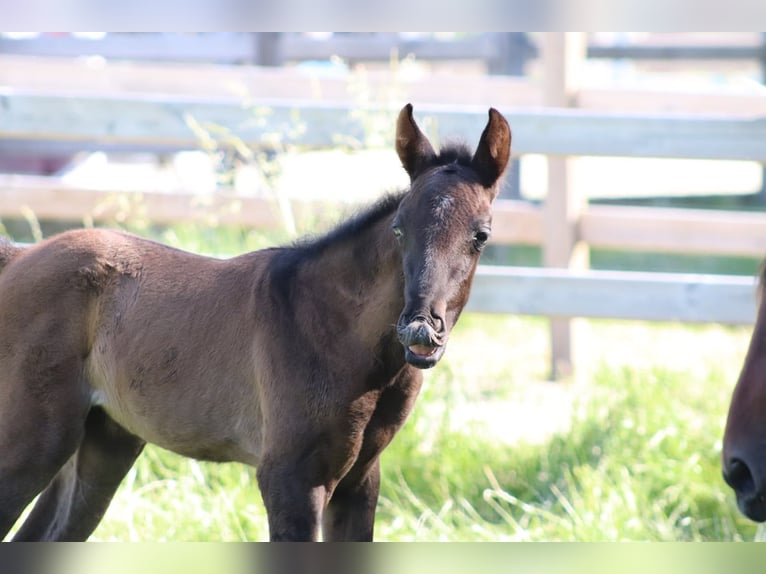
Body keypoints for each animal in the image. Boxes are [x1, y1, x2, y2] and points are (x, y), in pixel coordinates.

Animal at [0, 104, 511, 541]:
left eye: (481, 236)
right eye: (399, 228)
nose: (420, 331)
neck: (333, 331)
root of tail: (19, 256)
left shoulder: (359, 482)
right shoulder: (290, 480)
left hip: (104, 441)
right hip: (33, 440)